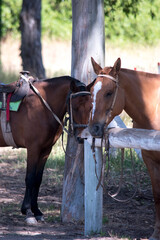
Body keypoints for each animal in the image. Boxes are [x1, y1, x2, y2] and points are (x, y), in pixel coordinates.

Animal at [0, 75, 92, 225]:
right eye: (75, 107)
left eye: (91, 107)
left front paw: (37, 211)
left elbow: (38, 179)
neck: (43, 107)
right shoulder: (33, 148)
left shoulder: (45, 150)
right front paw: (28, 212)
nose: (82, 137)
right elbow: (30, 178)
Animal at [88, 57, 160, 240]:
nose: (94, 128)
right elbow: (157, 195)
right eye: (91, 91)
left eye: (109, 92)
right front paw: (156, 232)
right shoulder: (151, 161)